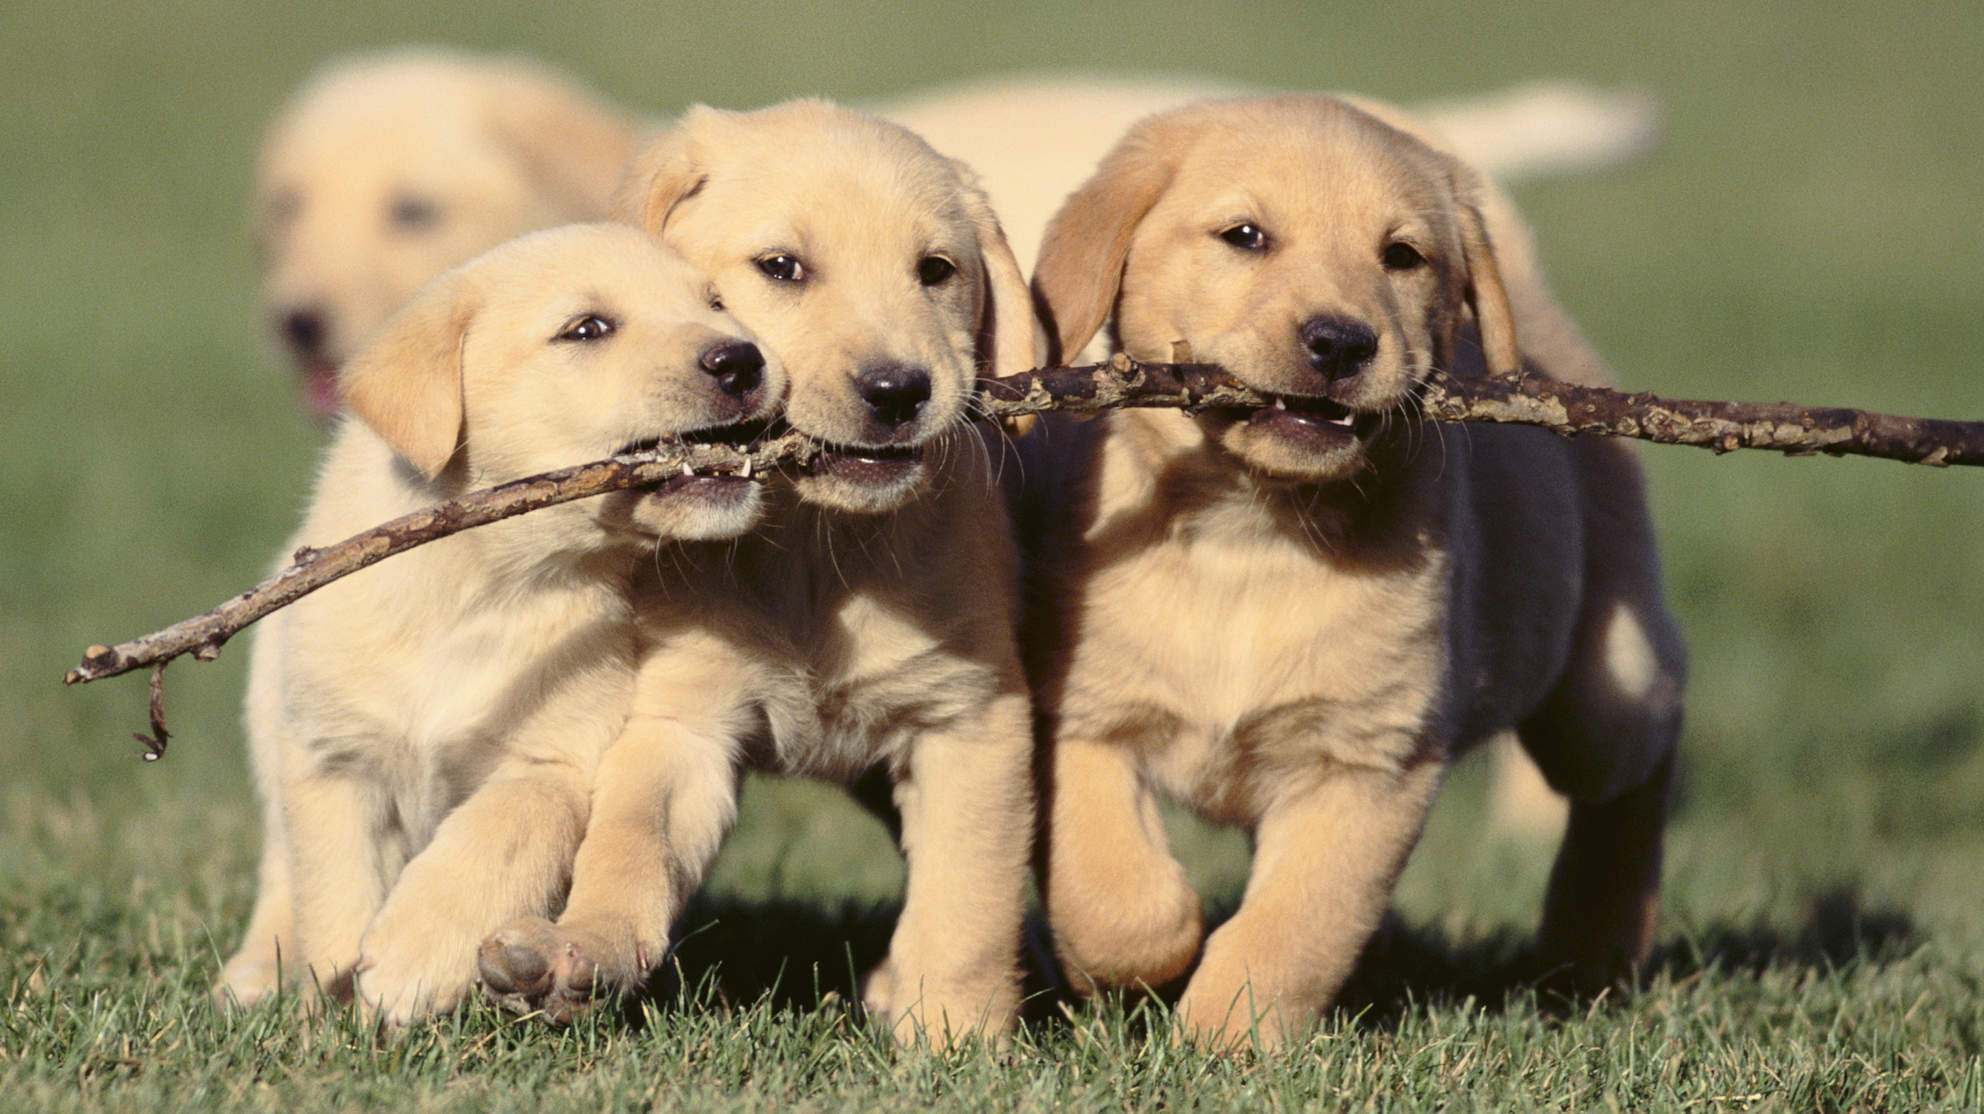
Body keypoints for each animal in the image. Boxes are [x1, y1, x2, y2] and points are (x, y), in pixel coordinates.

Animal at [213, 221, 777, 1024]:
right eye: (588, 328)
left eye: (718, 303)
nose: (743, 359)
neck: (483, 584)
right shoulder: (332, 755)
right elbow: (334, 885)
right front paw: (329, 999)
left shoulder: (557, 756)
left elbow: (505, 829)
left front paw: (412, 962)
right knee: (279, 872)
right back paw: (258, 972)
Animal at [1023, 93, 1690, 1040]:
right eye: (1246, 236)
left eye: (1402, 256)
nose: (1340, 343)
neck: (1249, 534)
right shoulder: (1081, 714)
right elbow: (1113, 897)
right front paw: (1138, 965)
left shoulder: (1371, 760)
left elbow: (1295, 923)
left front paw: (1224, 1038)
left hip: (1601, 687)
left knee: (1648, 745)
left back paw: (1596, 936)